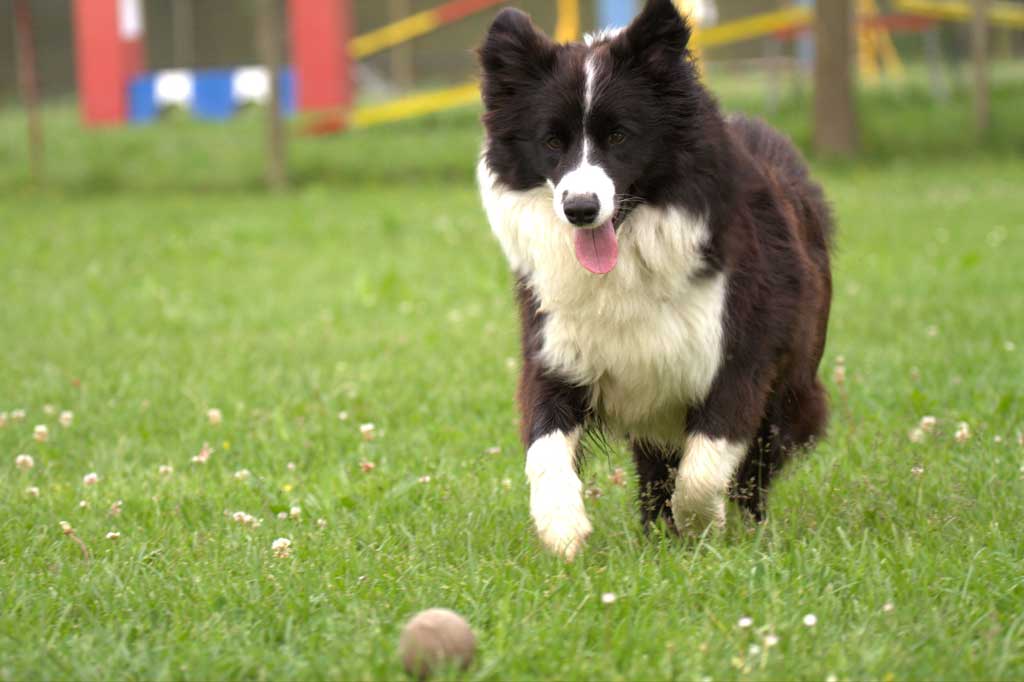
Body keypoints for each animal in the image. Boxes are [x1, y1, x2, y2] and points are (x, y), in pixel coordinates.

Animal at [477, 0, 831, 557]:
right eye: (551, 141)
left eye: (619, 135)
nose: (580, 209)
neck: (628, 258)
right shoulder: (555, 345)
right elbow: (544, 446)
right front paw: (562, 527)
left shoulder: (739, 352)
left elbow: (704, 469)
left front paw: (703, 529)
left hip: (792, 382)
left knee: (754, 464)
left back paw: (744, 524)